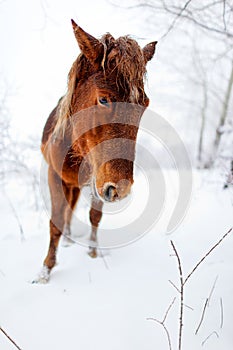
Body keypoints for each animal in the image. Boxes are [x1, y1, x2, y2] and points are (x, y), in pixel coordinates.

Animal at [36, 19, 157, 284]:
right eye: (103, 100)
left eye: (145, 104)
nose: (122, 189)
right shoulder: (55, 176)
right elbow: (56, 220)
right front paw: (45, 271)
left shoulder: (98, 182)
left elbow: (94, 216)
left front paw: (93, 253)